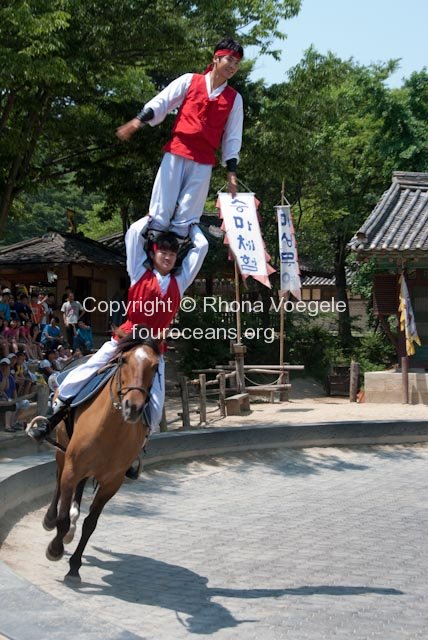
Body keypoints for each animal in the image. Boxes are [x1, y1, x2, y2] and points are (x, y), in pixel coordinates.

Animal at [42, 332, 160, 584]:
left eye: (155, 367)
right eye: (123, 360)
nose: (133, 407)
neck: (111, 430)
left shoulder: (111, 483)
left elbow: (91, 524)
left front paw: (74, 566)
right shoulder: (72, 468)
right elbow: (63, 517)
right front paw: (55, 549)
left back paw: (71, 529)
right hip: (62, 450)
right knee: (58, 479)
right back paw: (50, 520)